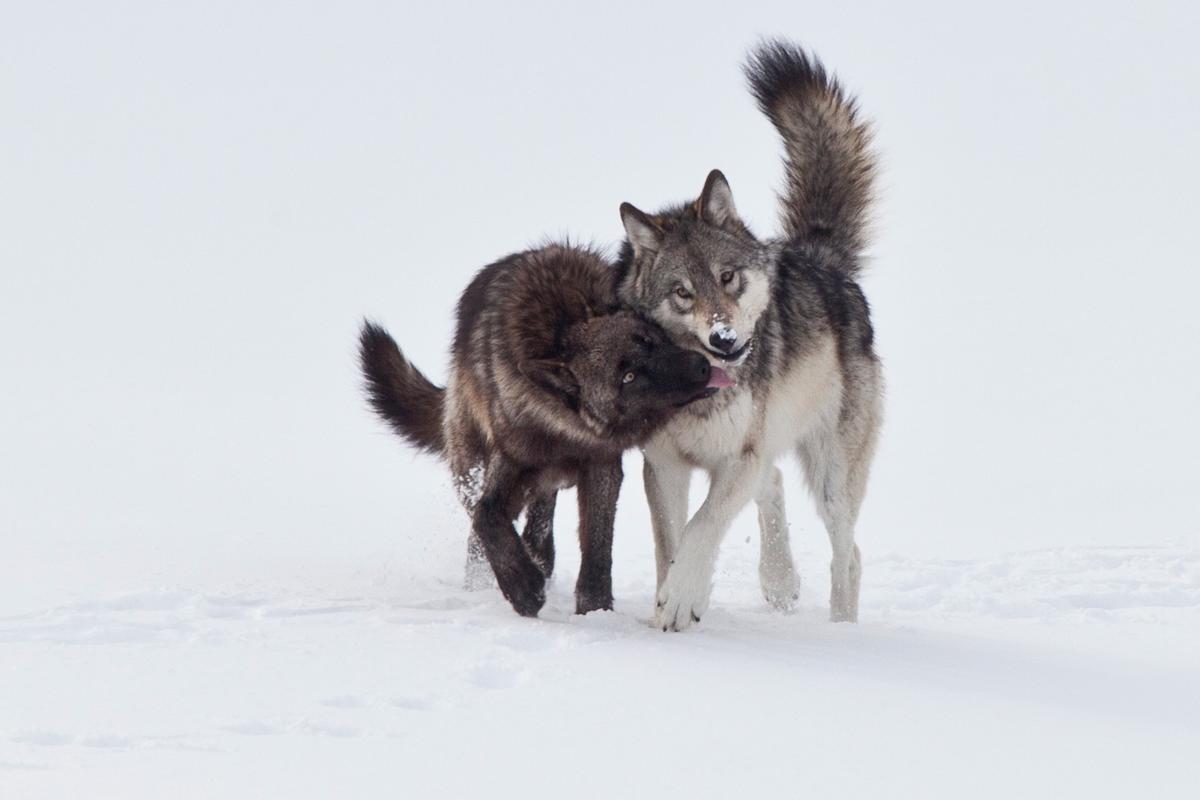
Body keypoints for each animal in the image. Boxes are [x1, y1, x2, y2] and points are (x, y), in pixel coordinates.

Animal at [360, 244, 726, 618]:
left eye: (650, 339)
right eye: (627, 377)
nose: (701, 367)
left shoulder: (602, 467)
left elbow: (597, 545)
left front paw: (594, 609)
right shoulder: (509, 462)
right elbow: (486, 517)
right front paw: (523, 588)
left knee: (540, 519)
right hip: (470, 470)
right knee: (478, 528)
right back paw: (487, 584)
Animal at [615, 41, 882, 629]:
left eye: (727, 278)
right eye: (683, 293)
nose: (724, 340)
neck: (695, 391)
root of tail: (818, 256)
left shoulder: (738, 458)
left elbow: (702, 527)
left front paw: (682, 598)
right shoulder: (662, 464)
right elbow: (670, 541)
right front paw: (671, 604)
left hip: (831, 475)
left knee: (849, 553)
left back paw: (843, 630)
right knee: (776, 486)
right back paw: (779, 584)